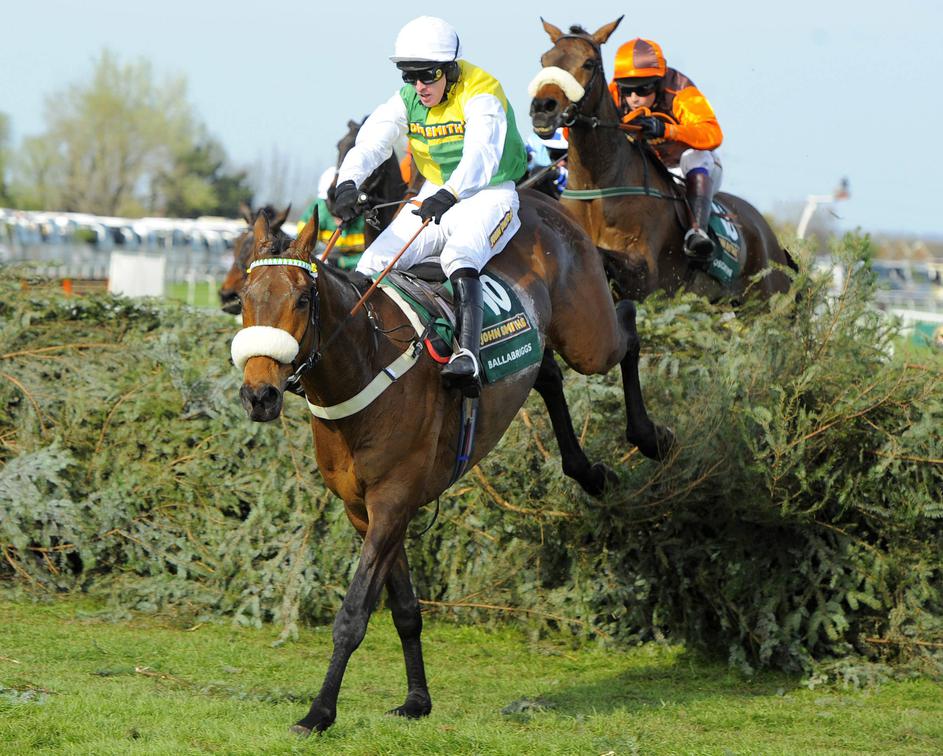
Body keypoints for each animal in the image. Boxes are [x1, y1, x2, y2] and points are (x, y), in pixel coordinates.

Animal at [233, 189, 673, 734]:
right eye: (245, 299)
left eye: (300, 300)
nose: (259, 395)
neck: (368, 361)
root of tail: (540, 197)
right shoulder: (364, 510)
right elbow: (404, 608)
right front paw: (416, 700)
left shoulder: (392, 501)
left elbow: (354, 615)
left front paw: (319, 712)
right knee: (547, 373)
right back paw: (587, 471)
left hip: (588, 335)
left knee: (626, 327)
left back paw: (651, 438)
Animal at [529, 18, 794, 302]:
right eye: (544, 60)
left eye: (588, 63)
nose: (543, 107)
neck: (597, 189)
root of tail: (765, 231)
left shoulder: (645, 274)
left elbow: (709, 128)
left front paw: (653, 126)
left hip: (767, 297)